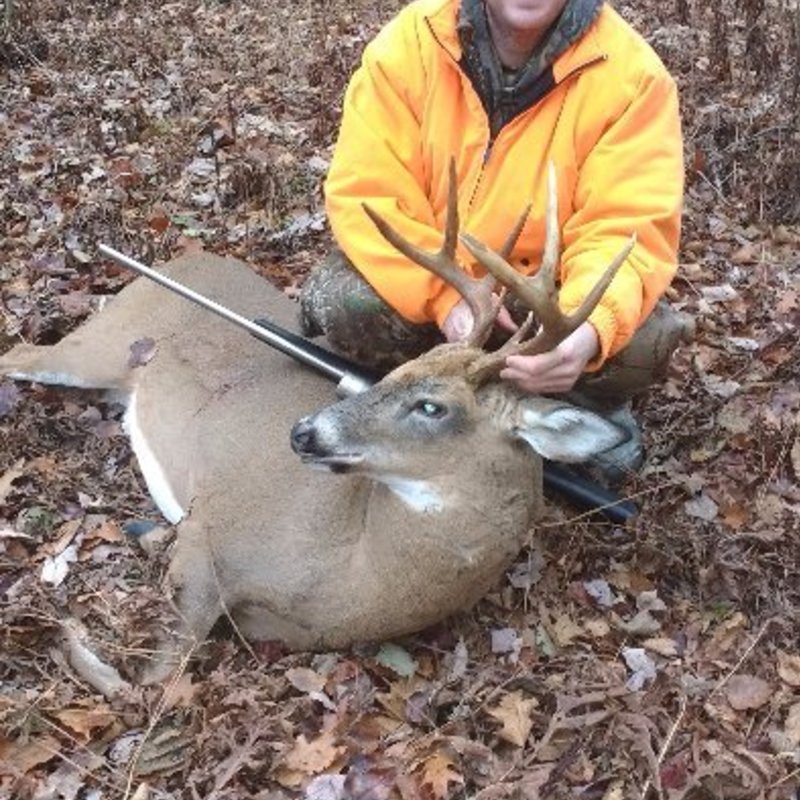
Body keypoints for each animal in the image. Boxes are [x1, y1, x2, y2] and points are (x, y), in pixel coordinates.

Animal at [0, 164, 632, 681]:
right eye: (395, 372)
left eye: (433, 406)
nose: (304, 431)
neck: (352, 572)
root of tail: (182, 256)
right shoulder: (207, 533)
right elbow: (153, 679)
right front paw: (67, 634)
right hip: (100, 345)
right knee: (20, 354)